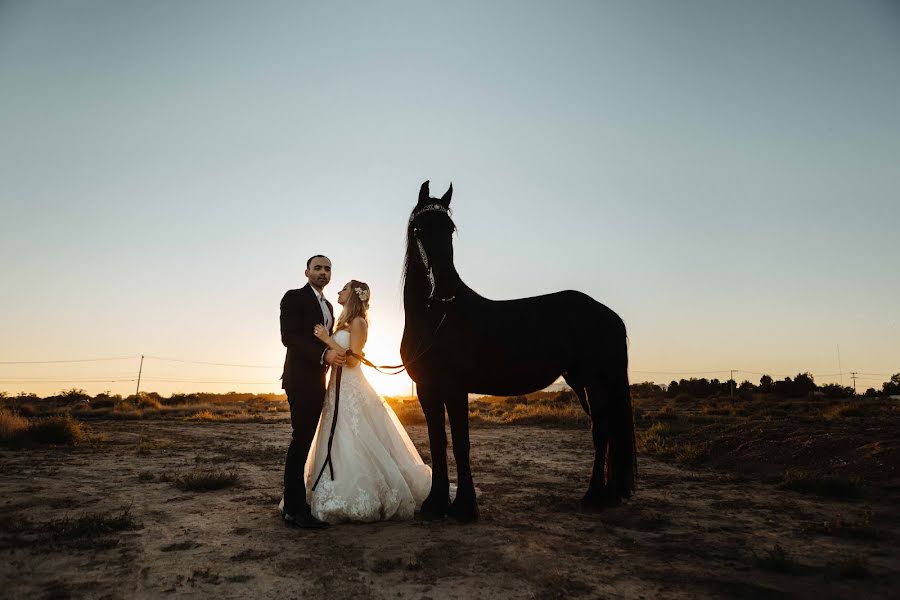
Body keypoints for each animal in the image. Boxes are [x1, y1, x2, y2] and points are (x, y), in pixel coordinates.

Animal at [404, 180, 636, 524]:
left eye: (450, 229)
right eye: (420, 228)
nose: (445, 287)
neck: (436, 319)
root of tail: (608, 314)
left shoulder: (455, 388)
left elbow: (460, 443)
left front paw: (464, 507)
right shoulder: (426, 388)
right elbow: (437, 442)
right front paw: (435, 504)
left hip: (595, 382)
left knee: (601, 432)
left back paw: (593, 497)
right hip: (581, 381)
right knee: (604, 431)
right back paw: (606, 495)